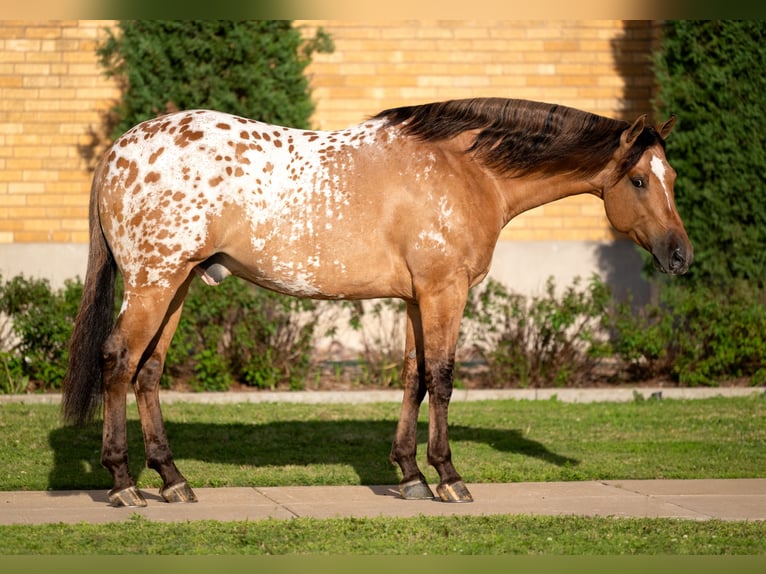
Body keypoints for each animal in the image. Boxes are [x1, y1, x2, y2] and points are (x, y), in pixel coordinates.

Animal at [62, 97, 692, 507]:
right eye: (639, 181)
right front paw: (448, 476)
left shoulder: (418, 298)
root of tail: (118, 152)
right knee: (118, 361)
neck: (465, 171)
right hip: (155, 282)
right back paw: (122, 484)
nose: (680, 255)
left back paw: (172, 480)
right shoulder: (444, 292)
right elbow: (442, 379)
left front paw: (410, 474)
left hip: (179, 284)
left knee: (148, 372)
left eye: (672, 178)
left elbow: (413, 377)